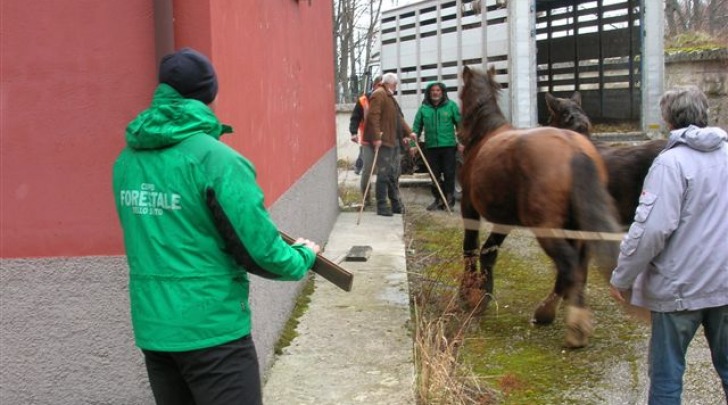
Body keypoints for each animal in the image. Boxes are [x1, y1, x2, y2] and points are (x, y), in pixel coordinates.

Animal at [456, 66, 620, 348]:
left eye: (460, 94)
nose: (458, 135)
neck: (486, 133)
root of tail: (576, 149)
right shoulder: (504, 220)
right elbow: (489, 252)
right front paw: (484, 294)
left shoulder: (469, 207)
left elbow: (471, 248)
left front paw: (468, 293)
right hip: (577, 228)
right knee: (576, 267)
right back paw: (553, 312)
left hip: (547, 229)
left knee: (569, 265)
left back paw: (571, 327)